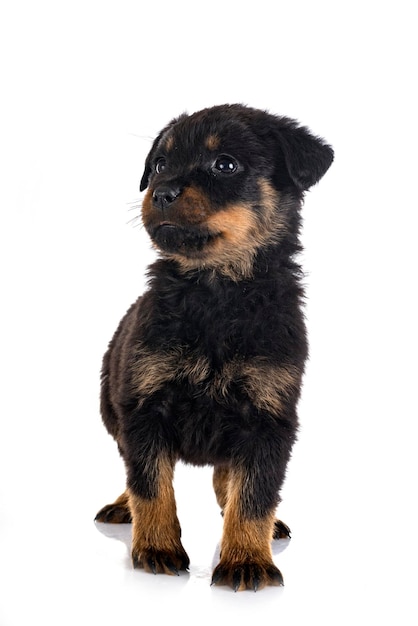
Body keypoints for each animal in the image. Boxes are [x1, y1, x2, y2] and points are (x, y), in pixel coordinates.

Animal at [94, 103, 334, 588]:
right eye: (159, 165)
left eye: (225, 164)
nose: (161, 193)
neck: (217, 291)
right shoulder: (143, 407)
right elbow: (150, 484)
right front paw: (156, 547)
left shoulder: (269, 417)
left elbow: (255, 494)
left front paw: (246, 557)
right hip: (111, 408)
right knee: (132, 469)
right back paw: (123, 506)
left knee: (228, 477)